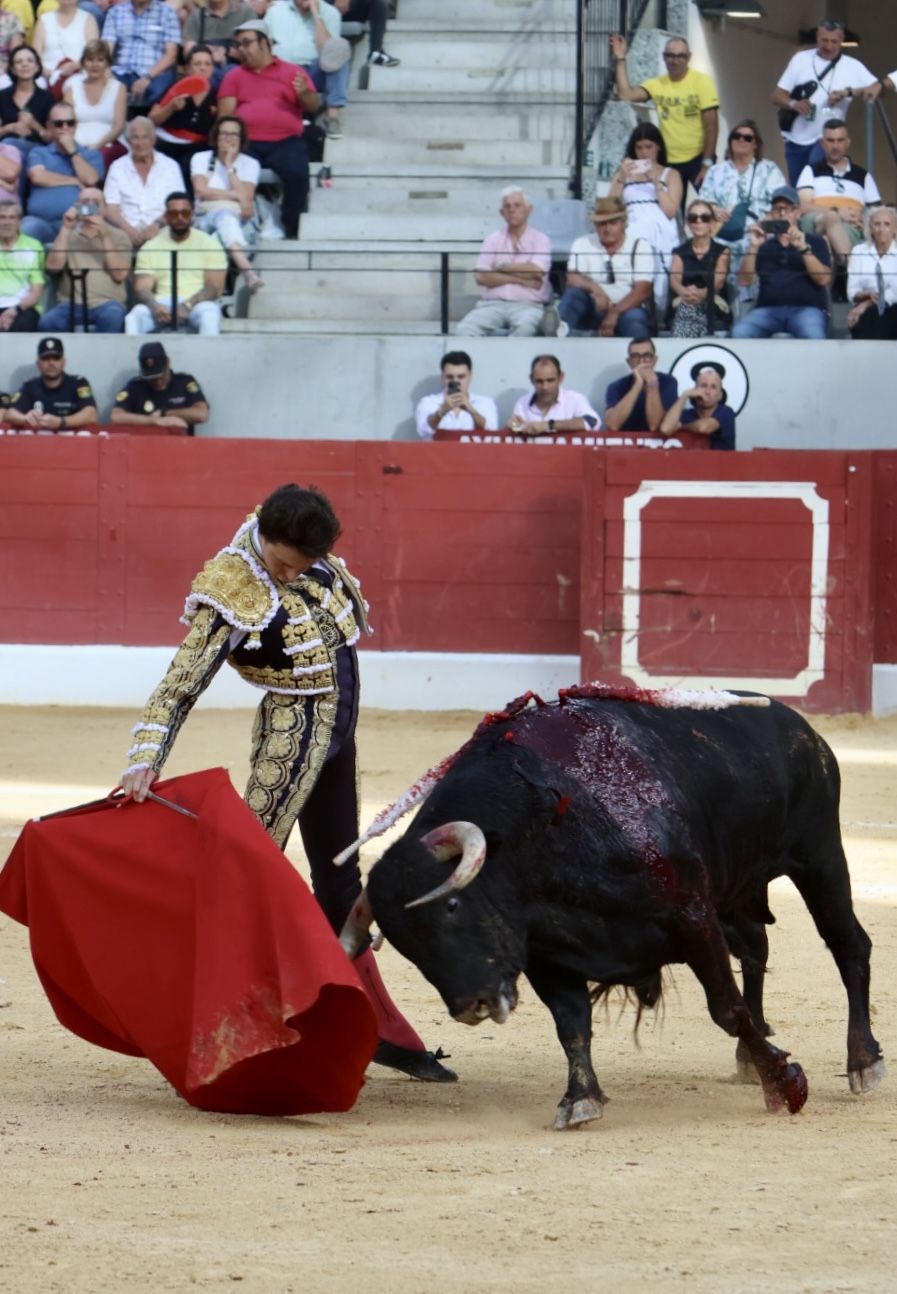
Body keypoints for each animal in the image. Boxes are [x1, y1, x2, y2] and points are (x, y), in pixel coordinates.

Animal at [341, 693, 880, 1128]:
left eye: (452, 903)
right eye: (404, 945)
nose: (470, 1006)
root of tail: (799, 725)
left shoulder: (693, 917)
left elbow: (725, 1008)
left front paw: (785, 1082)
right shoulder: (545, 953)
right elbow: (572, 1024)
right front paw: (580, 1099)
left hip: (819, 857)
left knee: (848, 945)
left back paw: (862, 1062)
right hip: (741, 885)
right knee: (756, 947)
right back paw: (751, 1058)